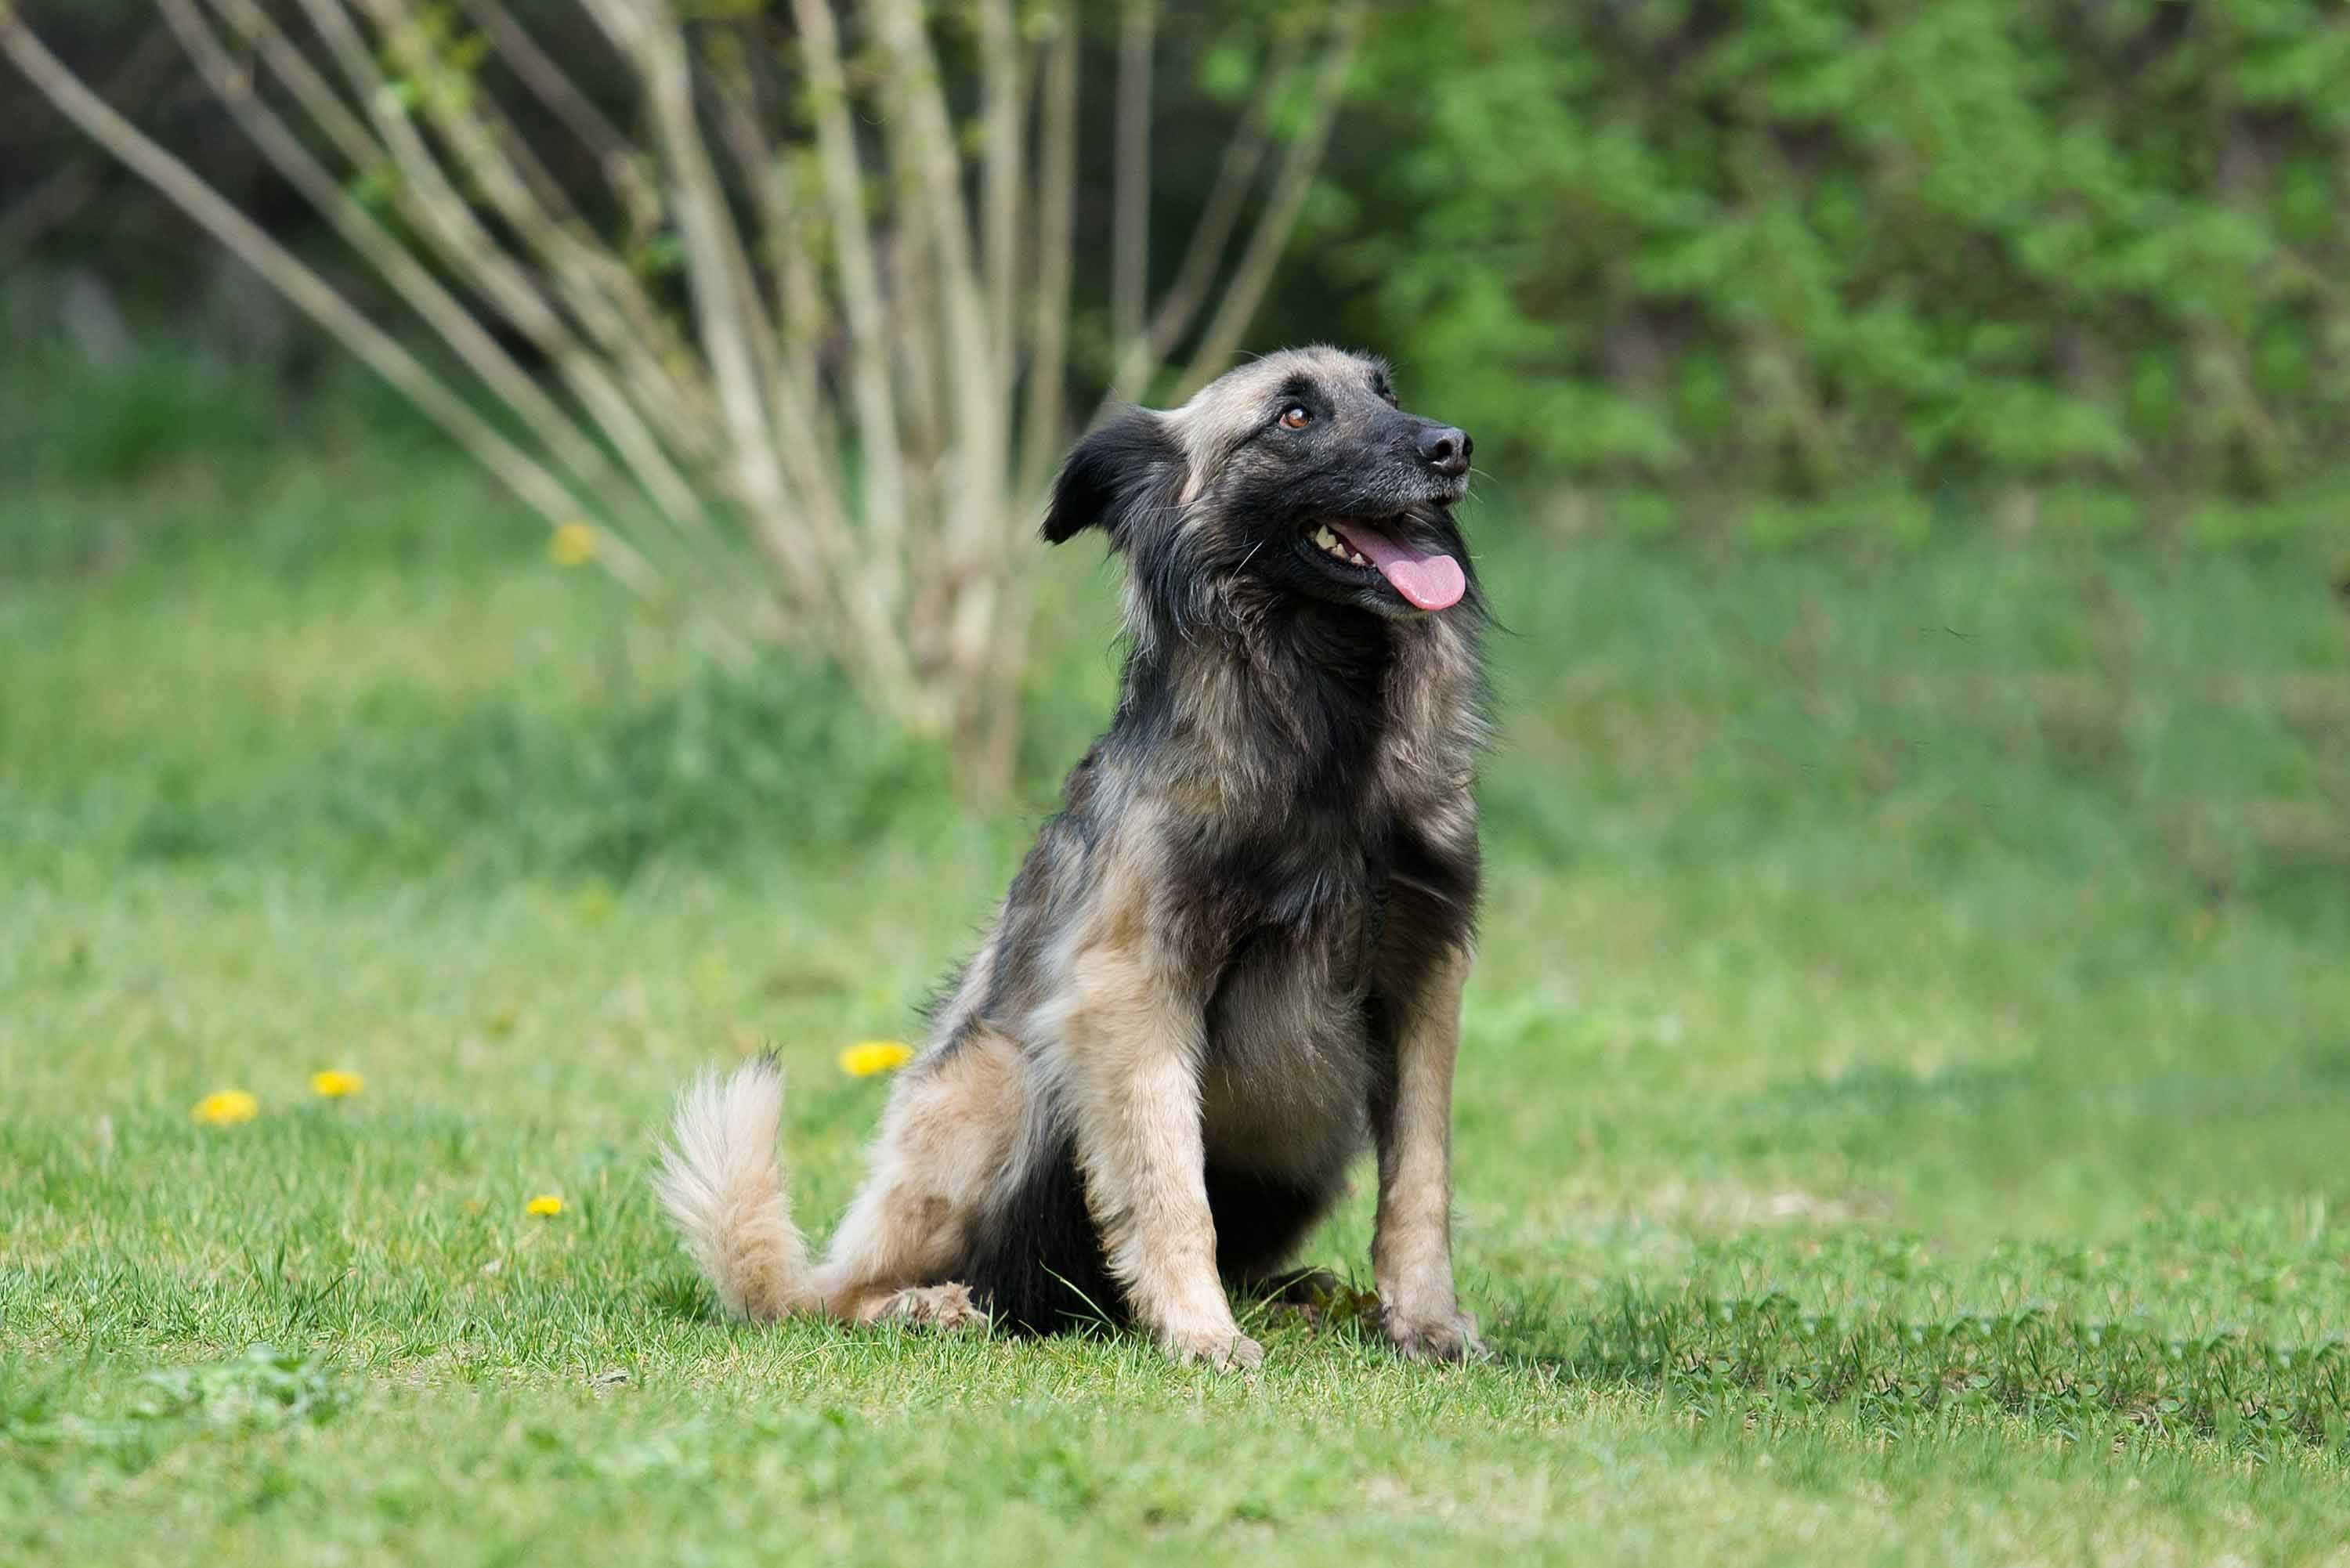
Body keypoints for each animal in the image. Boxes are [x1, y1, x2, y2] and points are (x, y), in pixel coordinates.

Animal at [658, 341, 1485, 1363]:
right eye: (1294, 415)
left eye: (1386, 393)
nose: (1452, 446)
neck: (1319, 728)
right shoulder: (1128, 990)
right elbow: (1170, 1189)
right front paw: (1201, 1331)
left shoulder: (1421, 977)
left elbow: (1421, 1181)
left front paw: (1426, 1319)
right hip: (1002, 1077)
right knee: (839, 1296)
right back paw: (924, 1304)